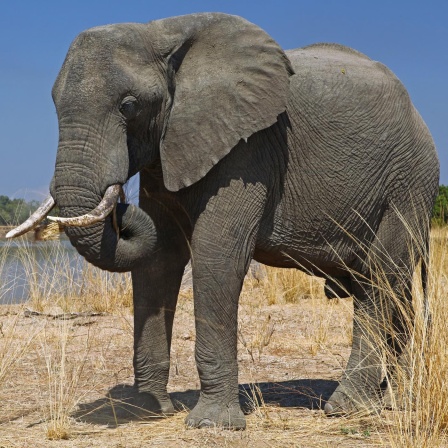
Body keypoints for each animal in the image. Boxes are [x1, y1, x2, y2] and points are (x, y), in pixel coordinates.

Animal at [8, 12, 440, 428]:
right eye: (53, 102)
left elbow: (217, 254)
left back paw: (347, 407)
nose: (120, 206)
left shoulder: (248, 150)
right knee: (395, 289)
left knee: (378, 279)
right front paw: (144, 411)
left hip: (407, 183)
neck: (160, 33)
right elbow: (159, 259)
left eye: (128, 106)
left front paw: (211, 425)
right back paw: (391, 400)